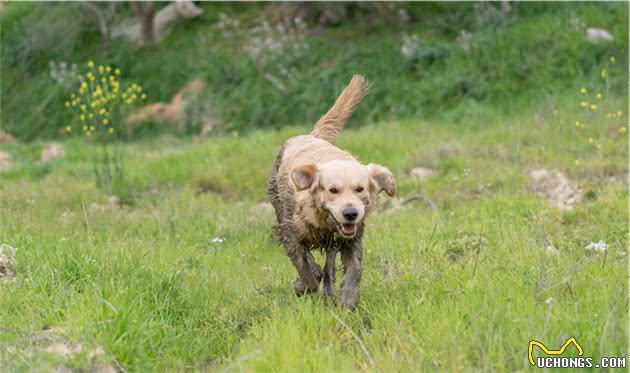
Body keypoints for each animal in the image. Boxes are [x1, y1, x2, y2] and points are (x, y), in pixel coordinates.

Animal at [268, 75, 398, 308]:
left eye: (360, 189)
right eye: (332, 190)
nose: (350, 213)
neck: (323, 221)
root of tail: (312, 136)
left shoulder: (352, 238)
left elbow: (354, 269)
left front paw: (347, 302)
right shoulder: (291, 234)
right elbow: (304, 265)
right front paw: (304, 285)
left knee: (329, 265)